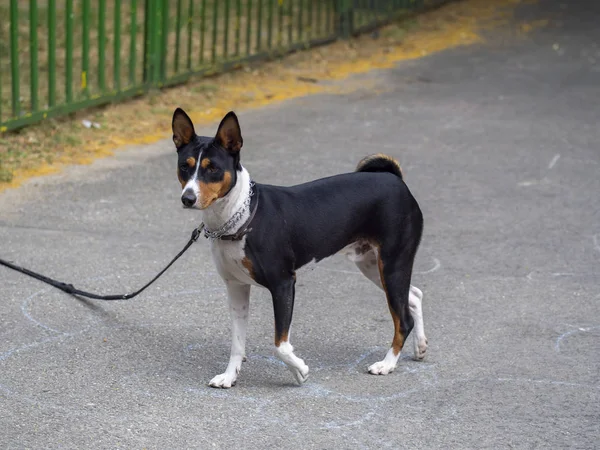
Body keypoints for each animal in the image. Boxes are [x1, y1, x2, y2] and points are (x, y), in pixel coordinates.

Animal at [173, 108, 426, 386]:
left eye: (213, 169)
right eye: (184, 167)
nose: (188, 198)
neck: (242, 217)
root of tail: (394, 179)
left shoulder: (283, 284)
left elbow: (280, 345)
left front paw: (299, 370)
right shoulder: (237, 287)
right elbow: (238, 344)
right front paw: (229, 377)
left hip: (392, 265)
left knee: (403, 320)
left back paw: (387, 364)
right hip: (374, 266)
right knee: (414, 296)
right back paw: (420, 347)